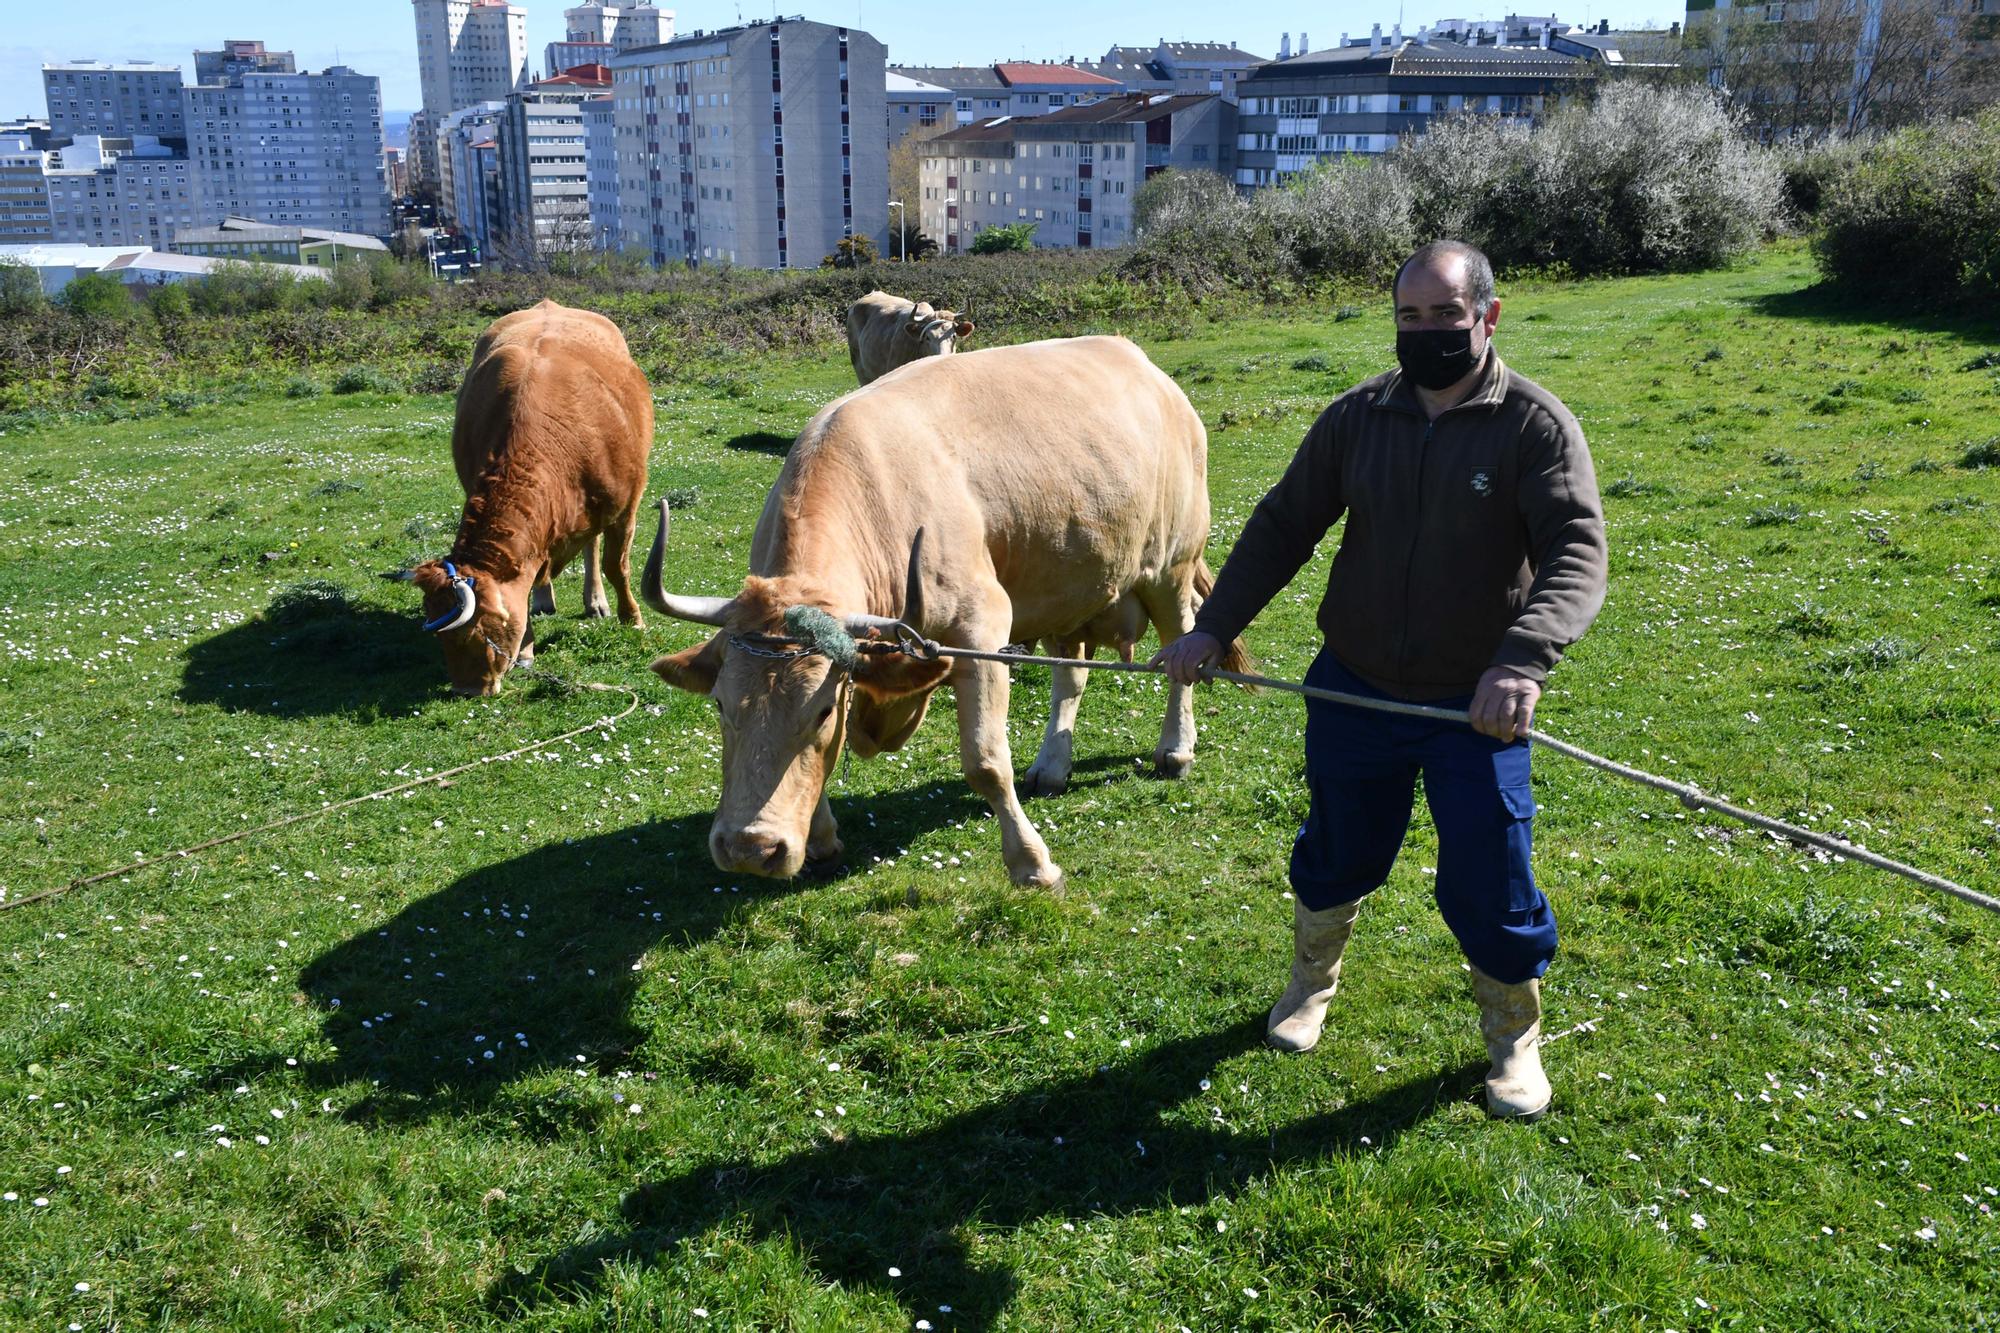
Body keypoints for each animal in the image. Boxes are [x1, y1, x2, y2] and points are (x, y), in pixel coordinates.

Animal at [410, 298, 652, 696]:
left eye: (476, 631)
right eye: (441, 639)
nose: (466, 690)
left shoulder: (625, 508)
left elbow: (617, 567)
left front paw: (631, 617)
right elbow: (526, 586)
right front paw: (526, 649)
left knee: (593, 547)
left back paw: (596, 601)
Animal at [640, 334, 1240, 880]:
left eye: (823, 710)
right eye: (721, 704)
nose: (750, 848)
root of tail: (1147, 368)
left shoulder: (982, 631)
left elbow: (986, 762)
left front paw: (1032, 862)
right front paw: (822, 836)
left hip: (1171, 568)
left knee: (1180, 650)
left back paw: (1175, 748)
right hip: (1068, 584)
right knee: (1070, 674)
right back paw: (1052, 765)